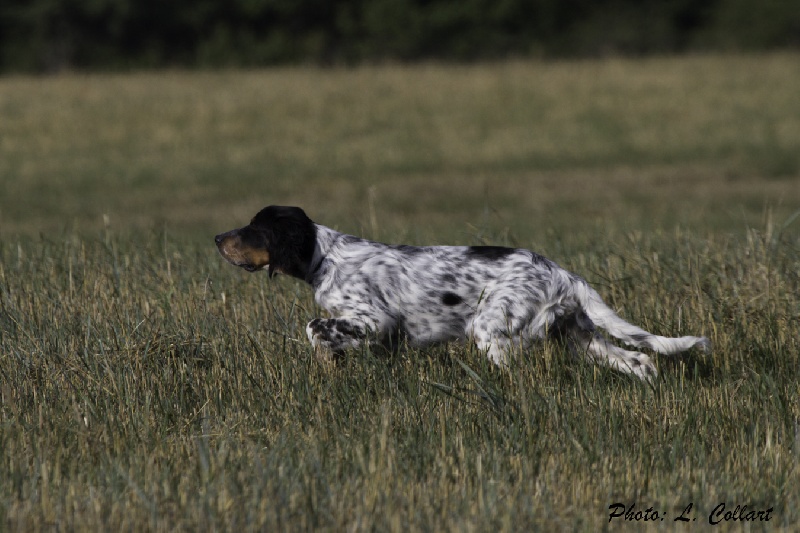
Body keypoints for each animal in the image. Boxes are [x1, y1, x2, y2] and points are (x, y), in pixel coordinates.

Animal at [216, 206, 708, 380]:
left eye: (254, 228)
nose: (218, 237)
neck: (325, 257)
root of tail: (563, 273)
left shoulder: (376, 320)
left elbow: (314, 326)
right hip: (577, 335)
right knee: (640, 360)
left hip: (492, 328)